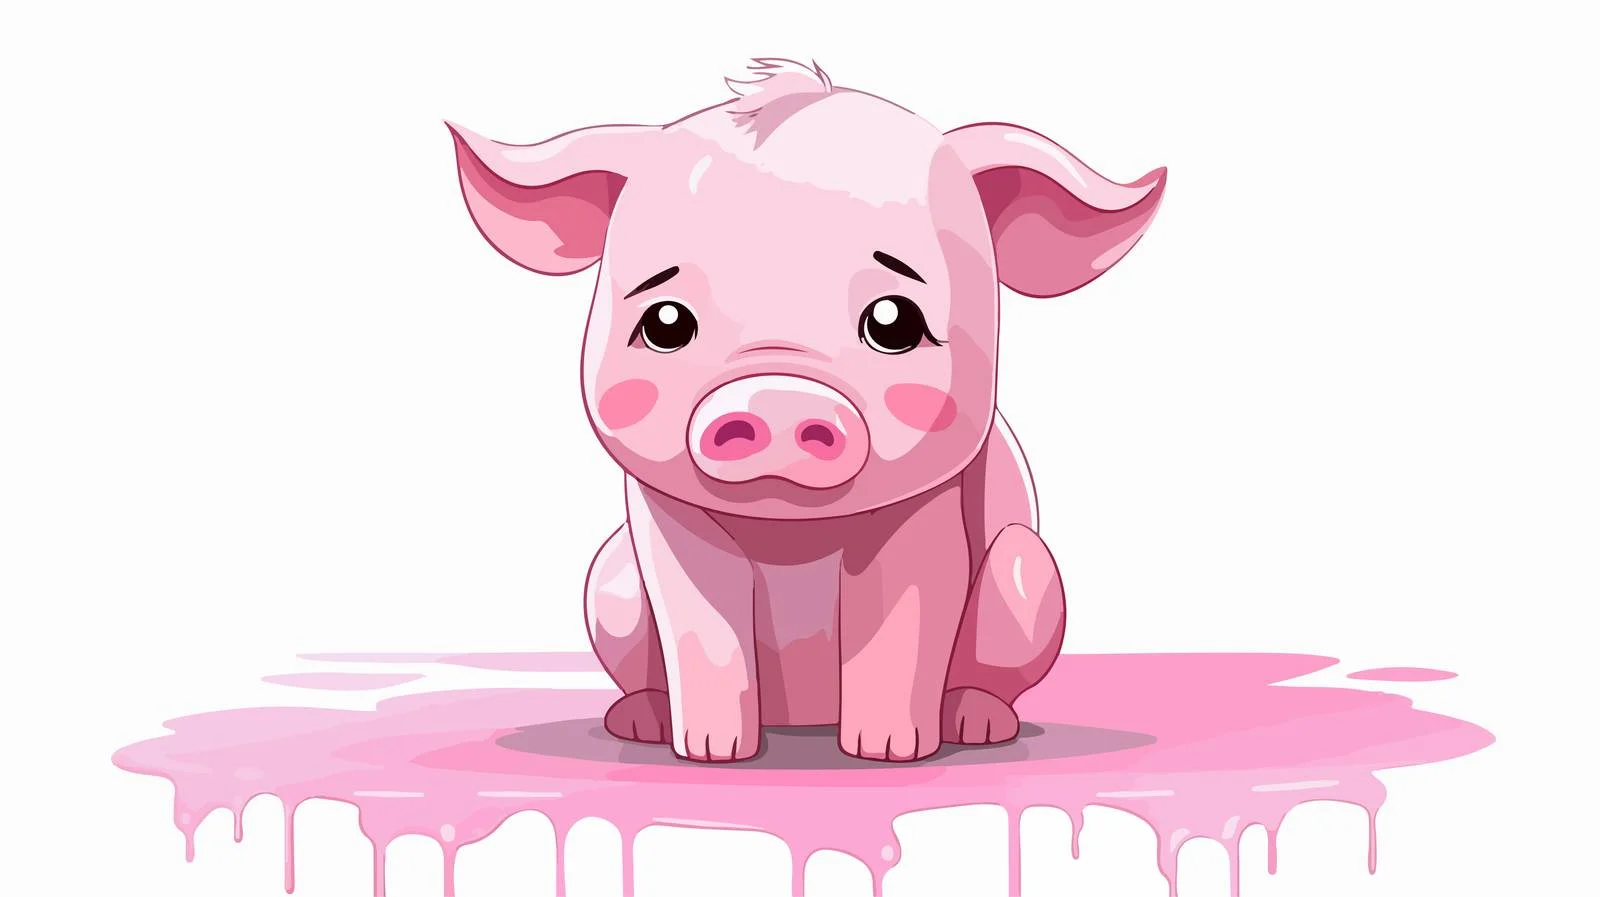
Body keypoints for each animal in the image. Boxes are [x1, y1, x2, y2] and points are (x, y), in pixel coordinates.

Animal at [448, 59, 1164, 763]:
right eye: (665, 322)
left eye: (895, 321)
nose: (776, 398)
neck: (792, 538)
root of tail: (802, 720)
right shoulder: (661, 514)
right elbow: (700, 618)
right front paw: (711, 754)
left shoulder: (929, 504)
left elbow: (904, 609)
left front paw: (889, 753)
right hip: (610, 578)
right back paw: (639, 725)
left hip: (1026, 570)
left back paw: (976, 726)